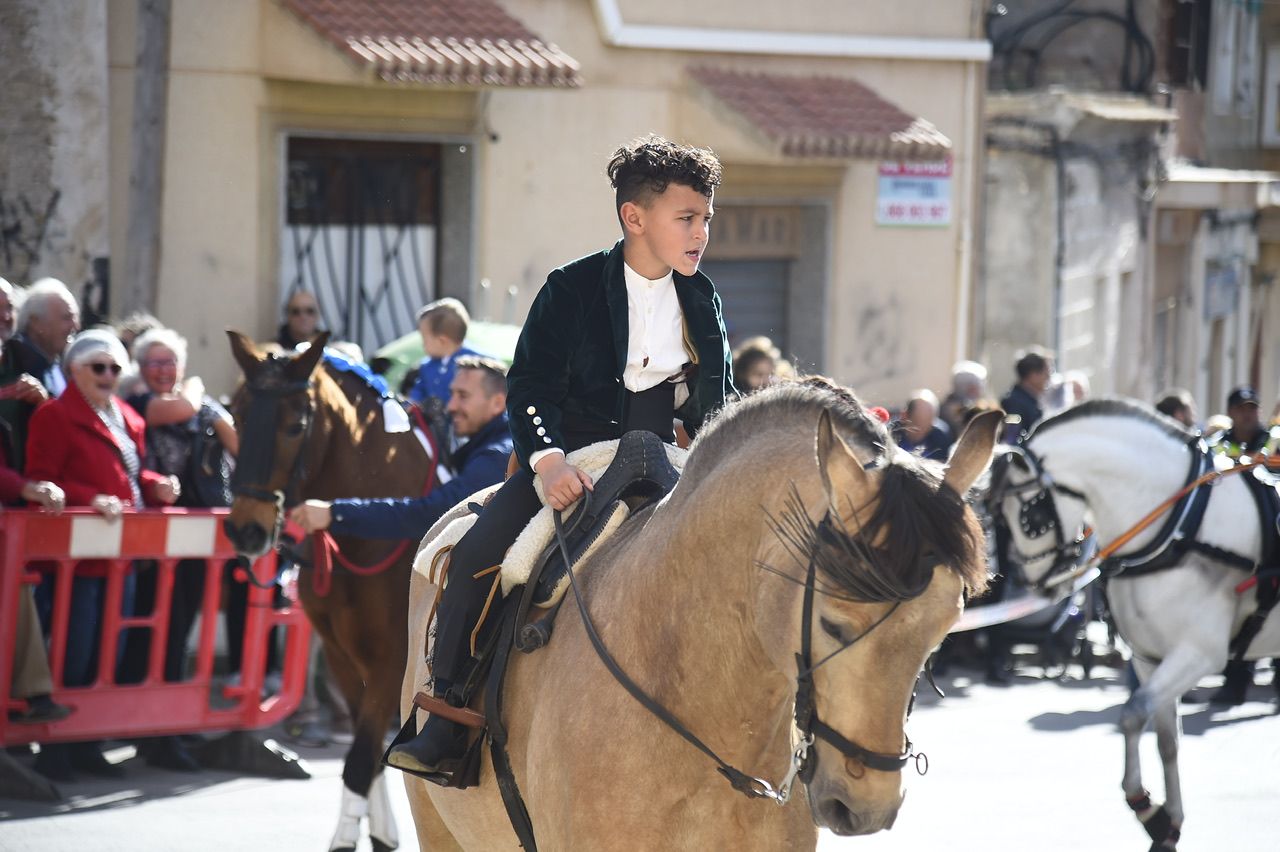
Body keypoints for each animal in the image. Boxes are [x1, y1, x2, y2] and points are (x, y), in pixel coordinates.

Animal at [222, 330, 437, 849]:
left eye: (296, 425)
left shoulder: (391, 661)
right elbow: (371, 755)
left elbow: (361, 761)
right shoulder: (343, 656)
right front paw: (382, 833)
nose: (245, 530)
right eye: (236, 415)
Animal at [993, 399, 1274, 849]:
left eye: (1029, 514)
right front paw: (1168, 822)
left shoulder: (1199, 653)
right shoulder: (1148, 657)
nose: (1036, 583)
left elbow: (1131, 713)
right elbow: (1166, 740)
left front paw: (1145, 806)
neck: (1180, 523)